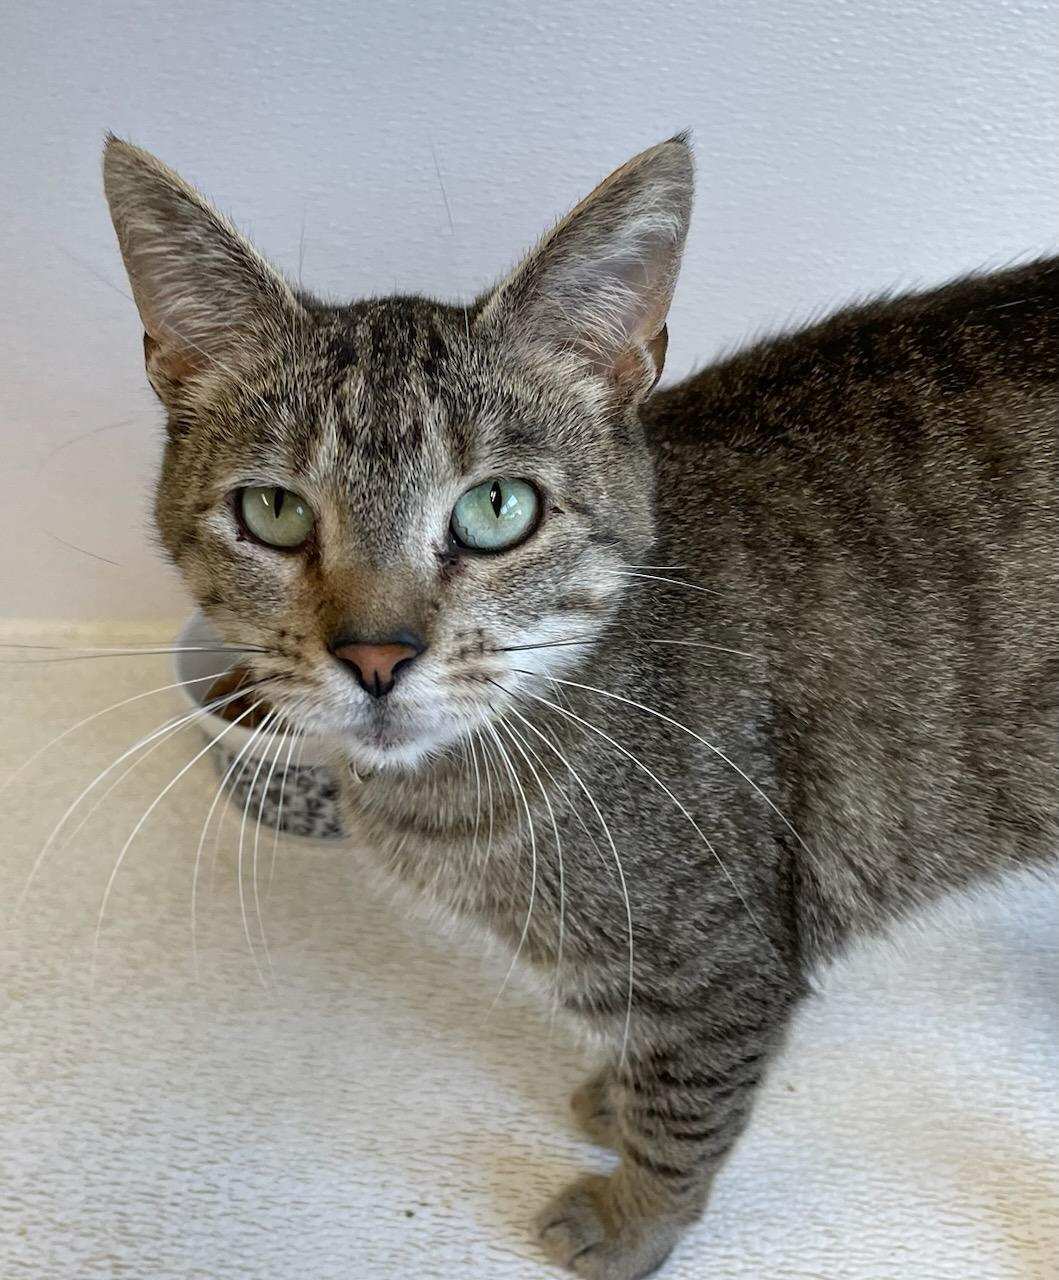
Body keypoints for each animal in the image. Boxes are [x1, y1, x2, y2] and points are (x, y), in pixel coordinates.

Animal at [101, 135, 1059, 1274]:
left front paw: (632, 1217)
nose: (377, 654)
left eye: (496, 507)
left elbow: (683, 1109)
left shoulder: (723, 967)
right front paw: (612, 1099)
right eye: (274, 511)